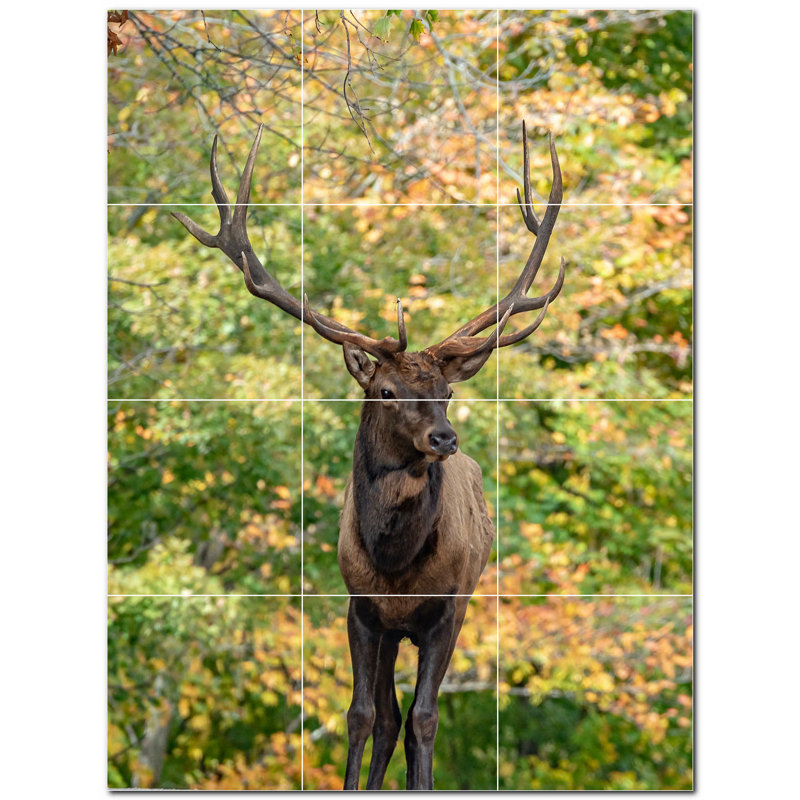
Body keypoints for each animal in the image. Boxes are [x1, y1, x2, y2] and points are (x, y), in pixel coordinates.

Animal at [173, 120, 564, 790]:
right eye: (386, 390)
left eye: (447, 392)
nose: (444, 439)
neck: (396, 562)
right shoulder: (360, 607)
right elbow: (359, 716)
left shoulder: (446, 609)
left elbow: (426, 720)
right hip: (387, 633)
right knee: (384, 718)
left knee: (406, 720)